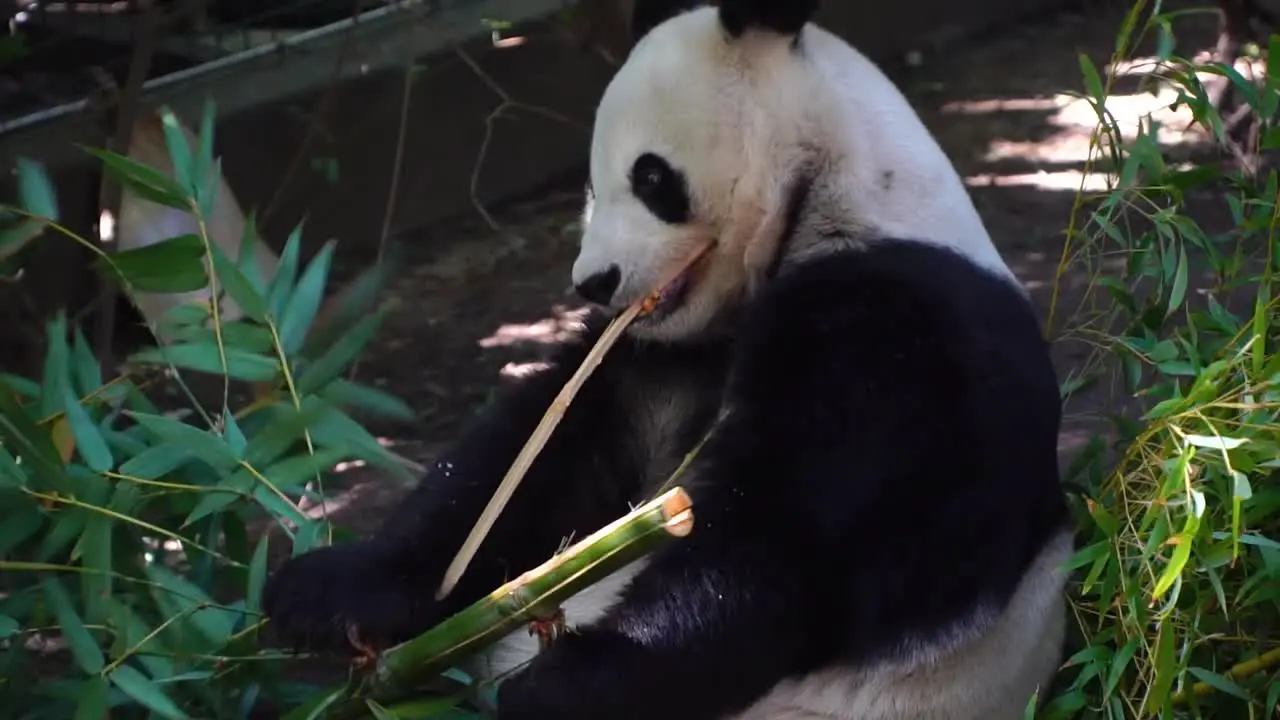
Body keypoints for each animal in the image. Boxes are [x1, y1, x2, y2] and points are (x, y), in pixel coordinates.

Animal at [264, 2, 1075, 712]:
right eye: (592, 185)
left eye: (651, 178)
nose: (594, 282)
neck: (833, 189)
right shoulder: (661, 353)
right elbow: (539, 465)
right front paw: (325, 593)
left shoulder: (901, 330)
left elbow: (780, 547)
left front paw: (558, 685)